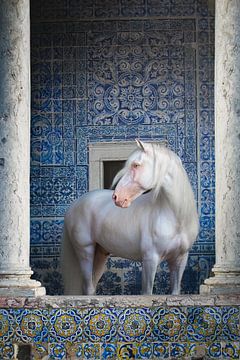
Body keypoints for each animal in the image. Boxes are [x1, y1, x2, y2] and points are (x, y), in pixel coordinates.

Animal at [62, 139, 199, 294]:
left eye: (136, 165)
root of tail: (74, 205)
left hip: (100, 255)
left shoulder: (180, 260)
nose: (116, 197)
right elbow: (147, 293)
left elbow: (175, 292)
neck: (176, 218)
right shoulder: (150, 260)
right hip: (85, 252)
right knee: (88, 287)